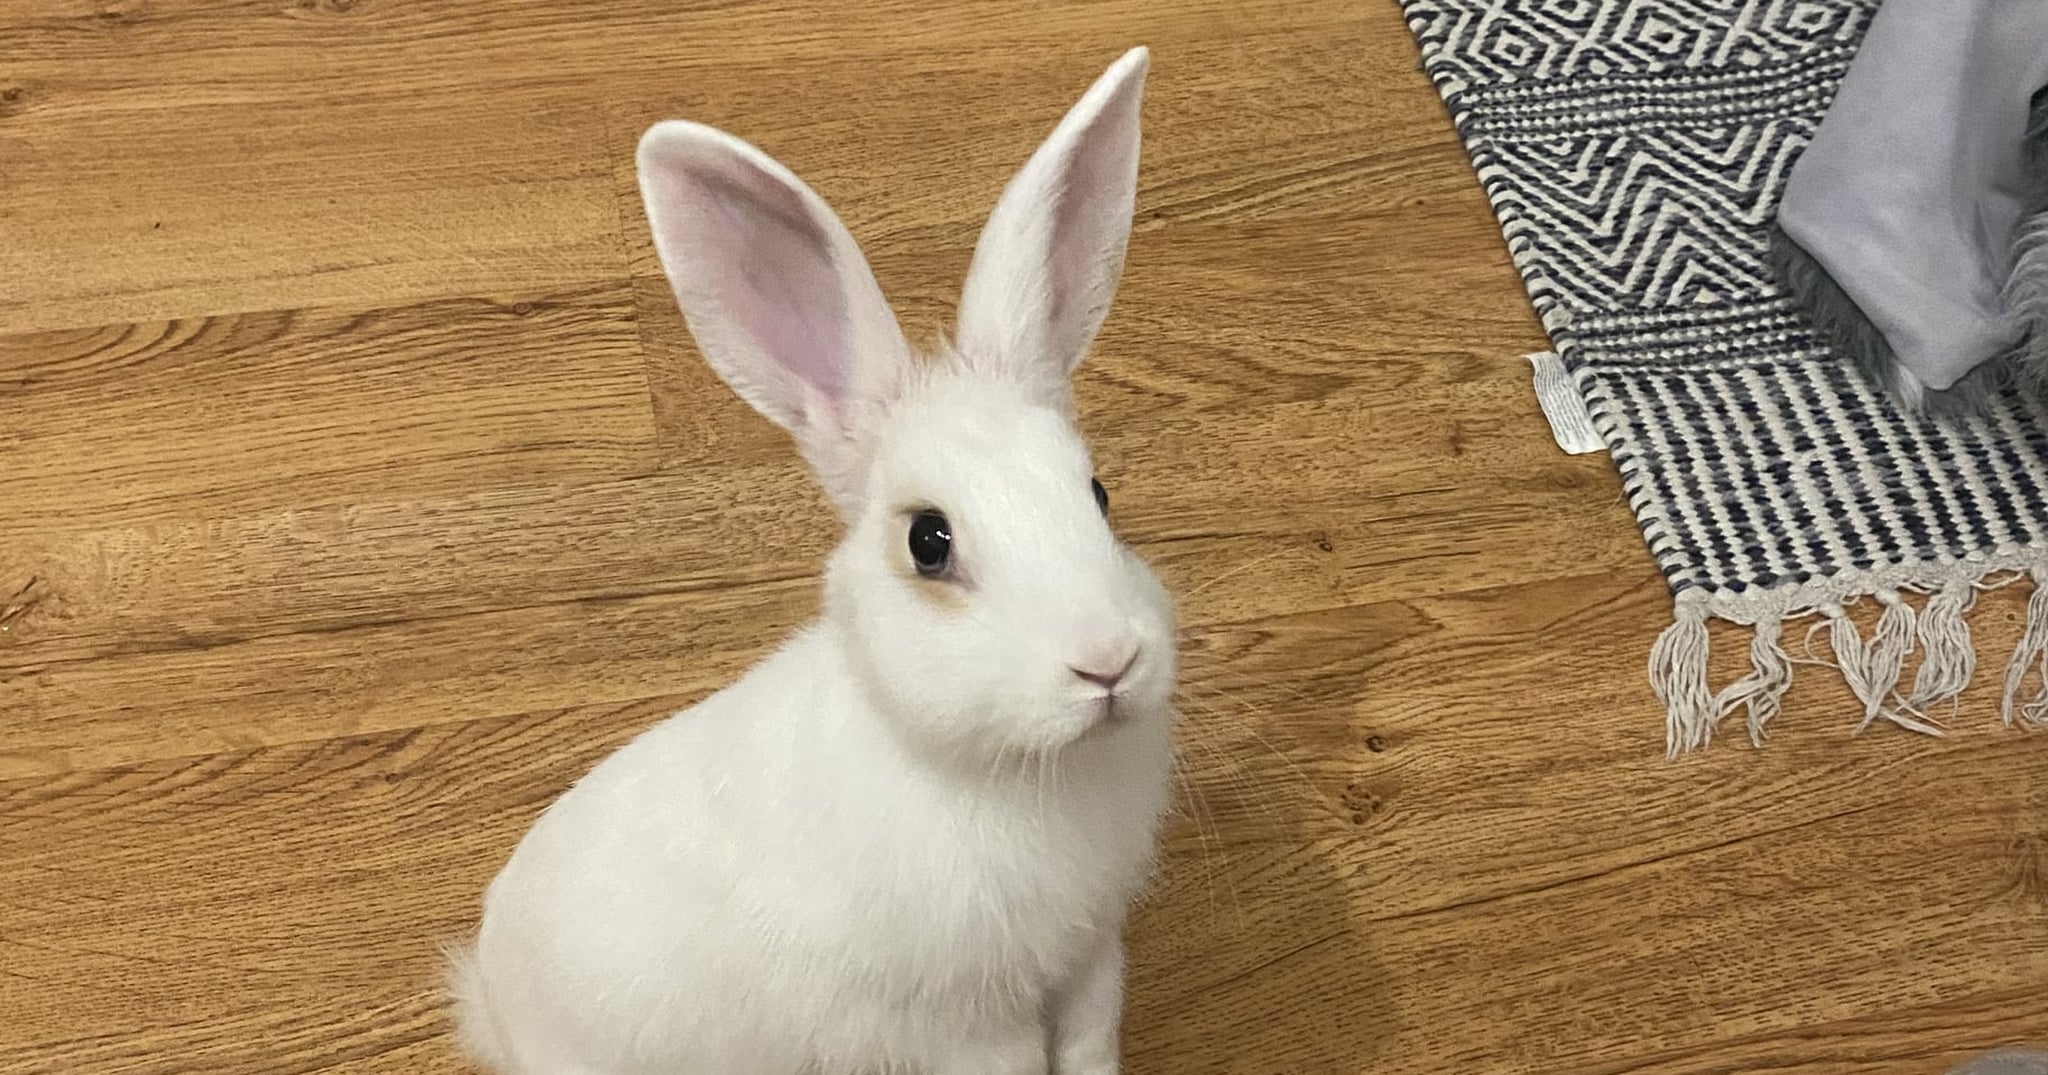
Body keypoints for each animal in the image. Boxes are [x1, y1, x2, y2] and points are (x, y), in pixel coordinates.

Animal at [448, 46, 1175, 1075]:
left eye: (1099, 494)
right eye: (928, 541)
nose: (1108, 662)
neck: (1010, 769)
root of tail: (497, 1006)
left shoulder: (1090, 961)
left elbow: (1089, 1047)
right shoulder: (963, 1024)